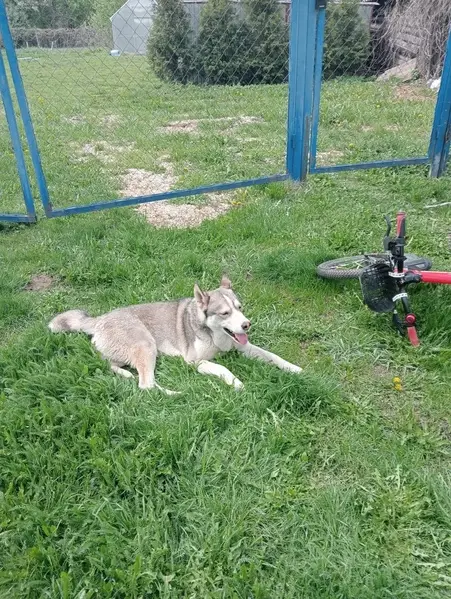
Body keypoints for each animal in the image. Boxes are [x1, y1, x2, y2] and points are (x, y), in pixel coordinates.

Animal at [49, 276, 302, 393]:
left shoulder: (243, 346)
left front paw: (294, 369)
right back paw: (176, 393)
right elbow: (223, 368)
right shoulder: (195, 362)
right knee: (146, 385)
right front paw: (237, 383)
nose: (247, 325)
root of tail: (100, 318)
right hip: (146, 345)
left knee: (113, 365)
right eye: (225, 313)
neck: (215, 336)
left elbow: (273, 356)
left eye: (240, 308)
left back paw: (125, 373)